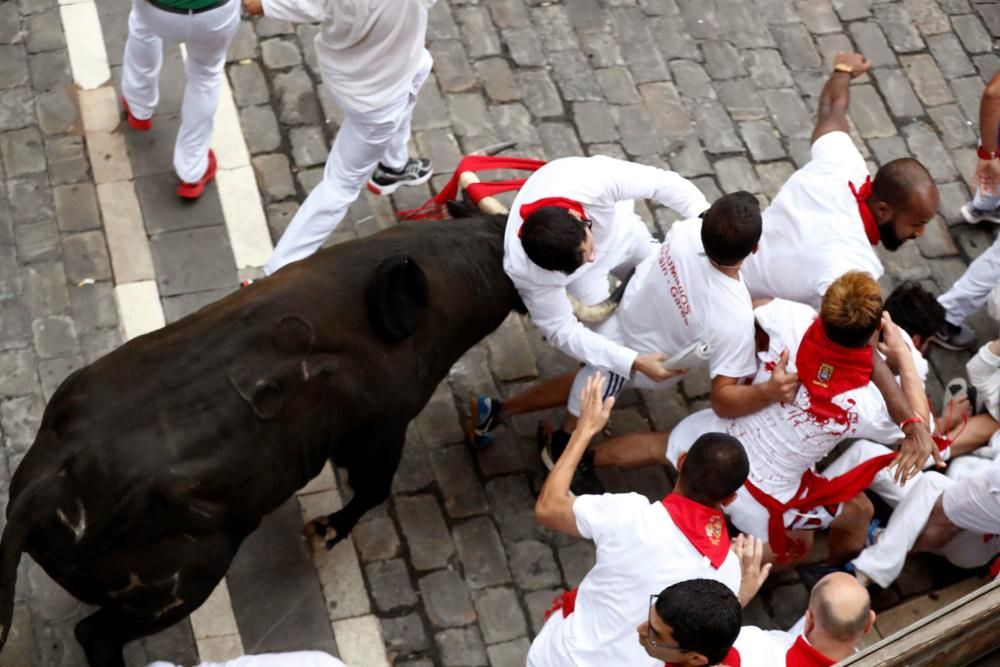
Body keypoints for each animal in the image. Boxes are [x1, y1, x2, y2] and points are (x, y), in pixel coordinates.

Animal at [0, 211, 520, 664]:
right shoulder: (382, 429)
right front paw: (325, 531)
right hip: (184, 582)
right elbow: (372, 489)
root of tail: (43, 493)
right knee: (98, 634)